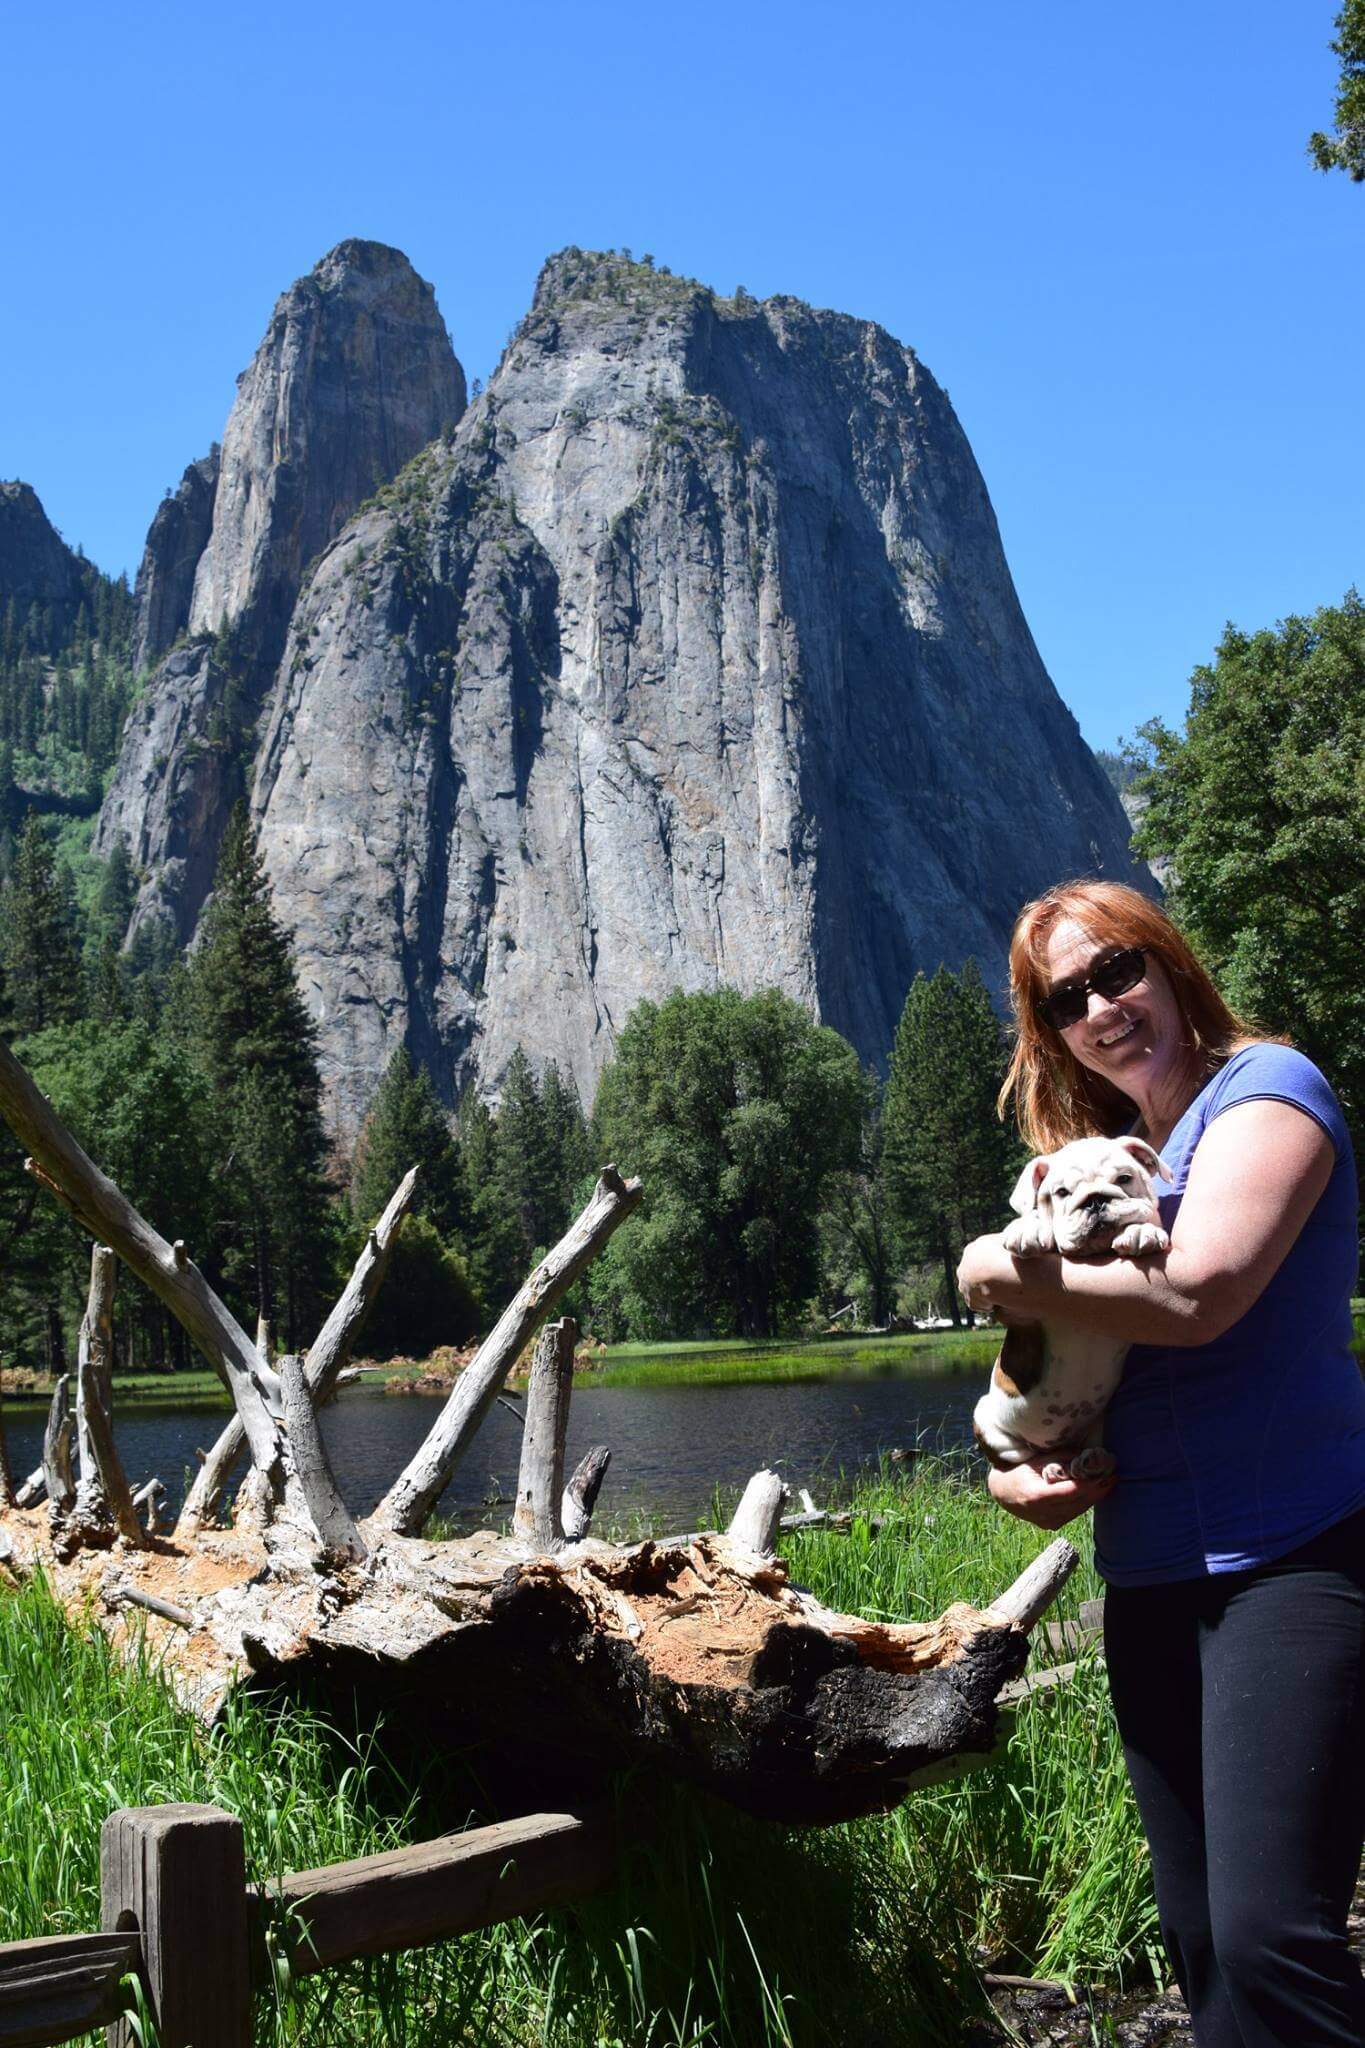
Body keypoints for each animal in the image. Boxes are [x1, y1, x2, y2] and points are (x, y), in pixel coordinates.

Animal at [970, 1138, 1178, 1490]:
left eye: (1124, 1178)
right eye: (1062, 1192)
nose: (1095, 1201)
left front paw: (1141, 1231)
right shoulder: (1017, 1312)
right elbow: (1031, 1218)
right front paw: (1028, 1228)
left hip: (1098, 1424)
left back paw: (1091, 1462)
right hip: (986, 1420)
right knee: (1023, 1457)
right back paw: (1052, 1467)